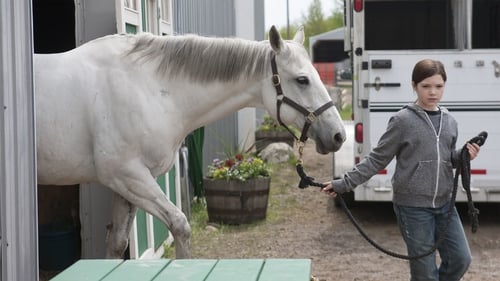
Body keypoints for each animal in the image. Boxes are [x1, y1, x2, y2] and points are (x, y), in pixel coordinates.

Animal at [35, 26, 346, 258]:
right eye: (302, 80)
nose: (338, 135)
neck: (147, 87)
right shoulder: (126, 175)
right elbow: (180, 226)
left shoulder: (125, 184)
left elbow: (117, 243)